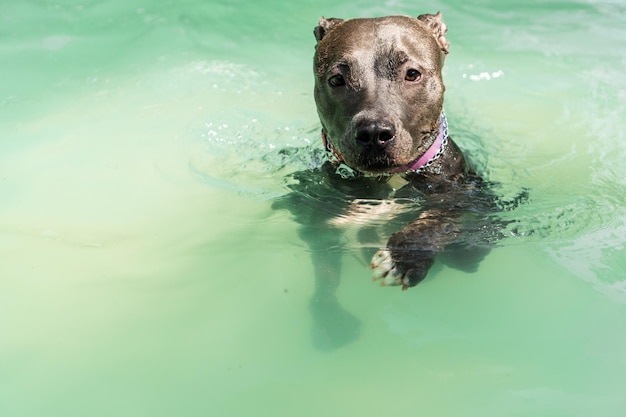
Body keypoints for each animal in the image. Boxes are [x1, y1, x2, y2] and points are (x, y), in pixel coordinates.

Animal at [272, 11, 498, 346]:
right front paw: (330, 320)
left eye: (412, 74)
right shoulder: (319, 227)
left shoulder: (461, 192)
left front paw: (402, 260)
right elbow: (325, 276)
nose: (374, 132)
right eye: (336, 79)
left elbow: (438, 219)